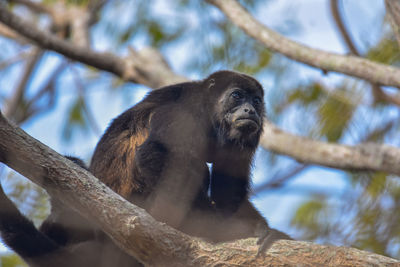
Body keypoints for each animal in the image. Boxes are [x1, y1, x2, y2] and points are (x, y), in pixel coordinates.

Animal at [0, 70, 290, 266]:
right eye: (237, 95)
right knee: (190, 165)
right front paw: (211, 227)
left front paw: (261, 229)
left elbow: (227, 191)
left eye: (257, 100)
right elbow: (153, 152)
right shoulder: (185, 113)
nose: (250, 110)